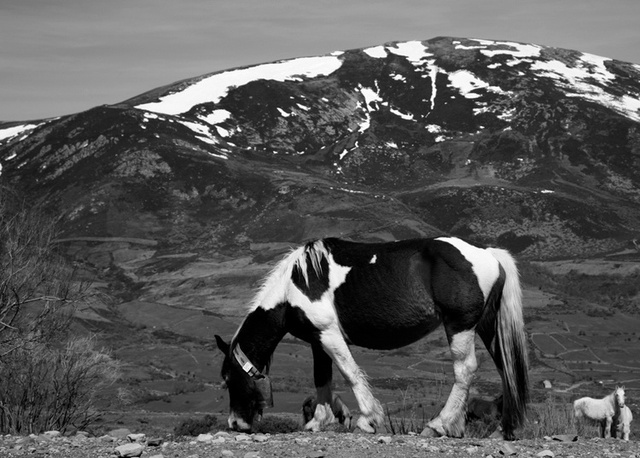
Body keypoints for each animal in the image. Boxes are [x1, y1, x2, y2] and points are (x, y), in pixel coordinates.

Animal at [215, 236, 530, 439]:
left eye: (228, 379)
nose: (235, 423)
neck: (293, 287)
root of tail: (488, 254)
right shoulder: (318, 341)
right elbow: (322, 379)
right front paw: (319, 421)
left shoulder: (329, 335)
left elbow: (350, 373)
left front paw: (368, 419)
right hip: (487, 327)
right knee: (506, 370)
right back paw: (501, 428)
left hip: (459, 325)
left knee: (465, 371)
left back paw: (439, 425)